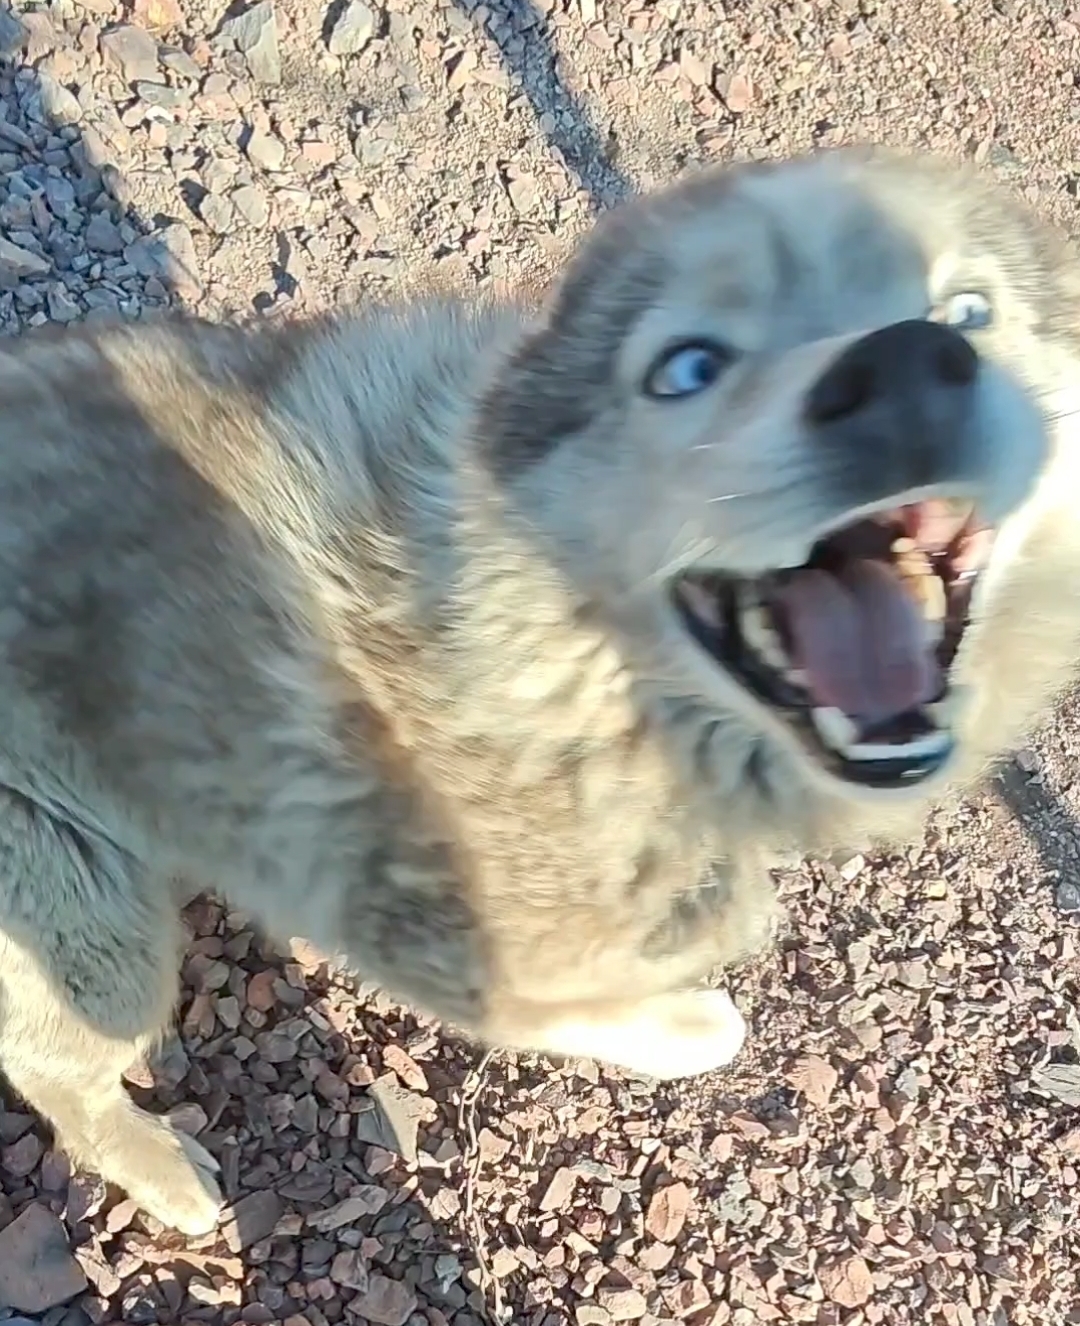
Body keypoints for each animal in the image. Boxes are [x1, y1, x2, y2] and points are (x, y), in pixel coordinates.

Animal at [2, 145, 1080, 1230]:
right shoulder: (432, 938)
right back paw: (164, 1170)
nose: (905, 369)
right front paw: (691, 1023)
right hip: (92, 929)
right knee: (60, 1077)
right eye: (687, 367)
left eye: (970, 310)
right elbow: (593, 1014)